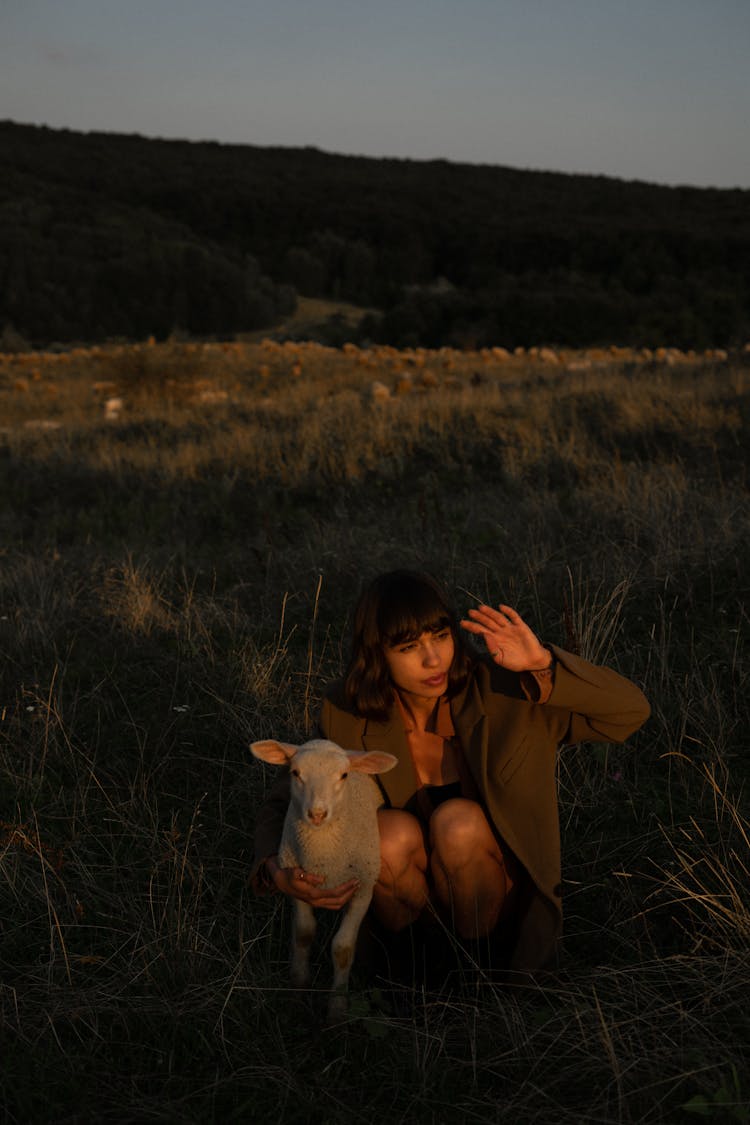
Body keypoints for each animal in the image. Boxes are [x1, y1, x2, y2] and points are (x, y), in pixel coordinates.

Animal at [250, 738, 398, 1021]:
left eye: (343, 775)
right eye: (295, 773)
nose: (317, 814)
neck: (325, 861)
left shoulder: (363, 888)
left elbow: (342, 948)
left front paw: (337, 1009)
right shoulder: (297, 883)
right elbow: (303, 934)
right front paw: (297, 994)